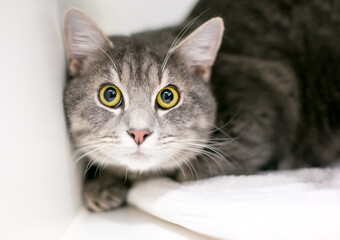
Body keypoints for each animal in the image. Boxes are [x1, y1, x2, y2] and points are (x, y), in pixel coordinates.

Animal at [63, 0, 340, 211]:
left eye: (168, 97)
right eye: (110, 95)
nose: (139, 133)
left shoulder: (268, 102)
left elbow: (182, 171)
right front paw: (100, 185)